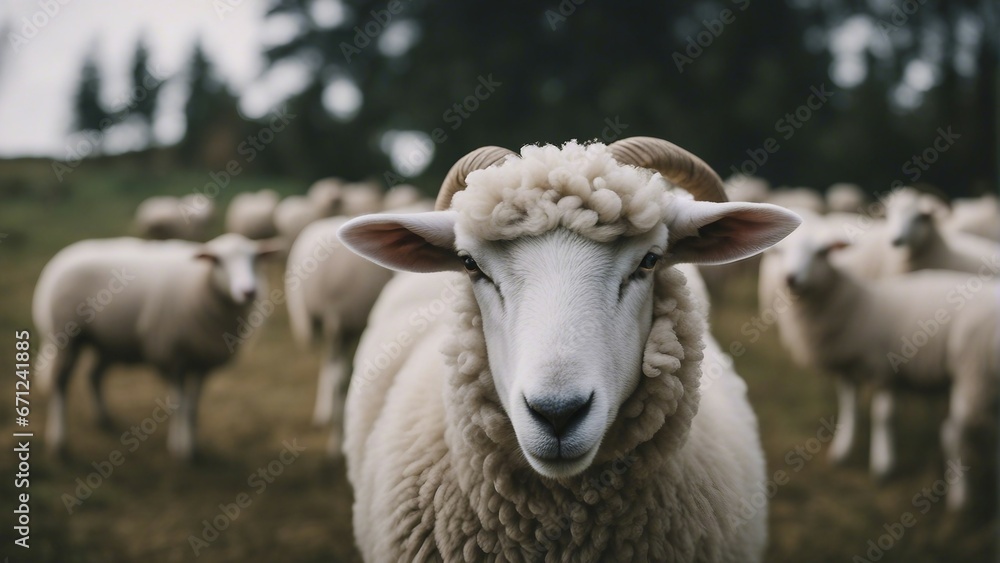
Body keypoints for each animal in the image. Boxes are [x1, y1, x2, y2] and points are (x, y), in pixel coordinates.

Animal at [34, 232, 278, 458]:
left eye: (256, 258)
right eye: (218, 260)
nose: (249, 291)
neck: (201, 282)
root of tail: (63, 257)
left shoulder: (203, 361)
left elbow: (192, 408)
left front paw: (192, 444)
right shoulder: (172, 357)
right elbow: (179, 406)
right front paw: (182, 449)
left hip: (108, 342)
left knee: (94, 375)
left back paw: (102, 418)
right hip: (66, 336)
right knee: (60, 384)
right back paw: (59, 441)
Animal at [760, 223, 996, 512]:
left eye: (822, 252)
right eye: (781, 252)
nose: (791, 278)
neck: (860, 305)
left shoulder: (883, 369)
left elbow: (882, 416)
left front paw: (882, 464)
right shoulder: (846, 368)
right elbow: (849, 407)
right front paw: (842, 450)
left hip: (976, 374)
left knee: (955, 435)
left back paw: (961, 498)